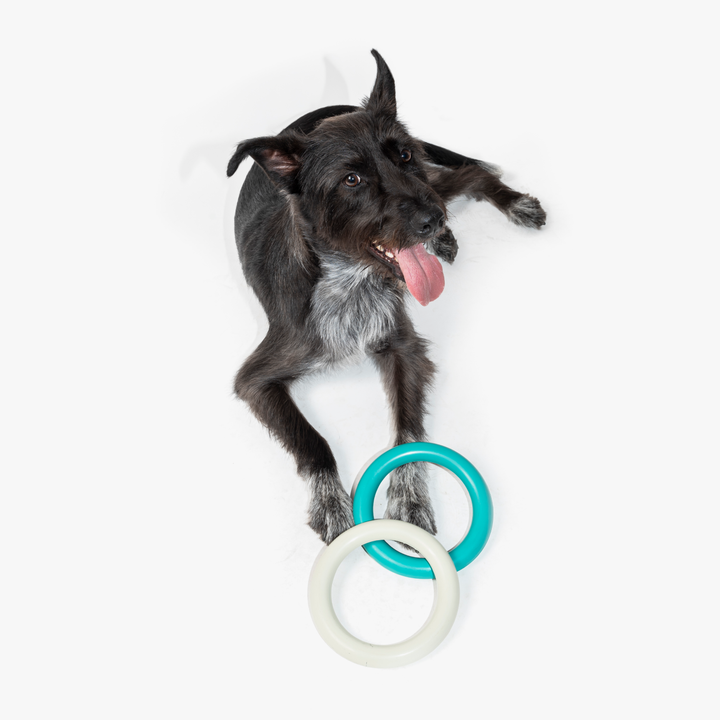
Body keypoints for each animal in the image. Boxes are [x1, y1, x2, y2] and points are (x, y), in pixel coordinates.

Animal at [228, 50, 544, 544]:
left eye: (404, 154)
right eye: (352, 179)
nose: (432, 220)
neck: (351, 280)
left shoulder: (404, 348)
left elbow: (408, 430)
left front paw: (410, 501)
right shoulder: (255, 380)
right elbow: (313, 441)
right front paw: (332, 503)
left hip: (437, 183)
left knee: (471, 172)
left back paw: (509, 207)